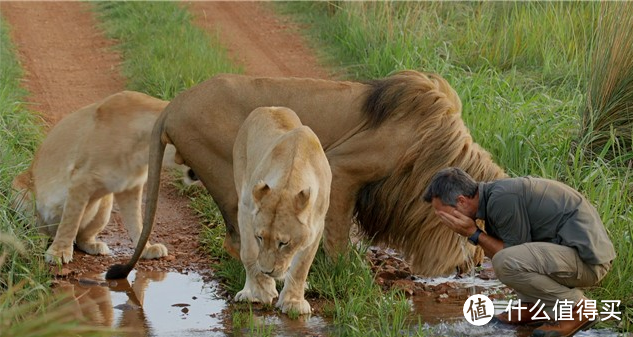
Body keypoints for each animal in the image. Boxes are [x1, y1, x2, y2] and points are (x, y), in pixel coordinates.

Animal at [11, 91, 185, 262]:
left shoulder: (130, 187)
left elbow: (136, 221)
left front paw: (146, 249)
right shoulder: (81, 179)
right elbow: (70, 220)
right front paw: (58, 253)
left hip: (105, 205)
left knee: (81, 238)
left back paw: (94, 246)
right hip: (20, 191)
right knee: (37, 226)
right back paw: (35, 241)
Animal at [106, 70, 506, 278]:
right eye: (477, 226)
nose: (476, 264)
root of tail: (173, 105)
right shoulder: (342, 167)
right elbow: (339, 233)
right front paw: (347, 272)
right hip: (237, 181)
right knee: (238, 240)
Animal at [232, 106, 330, 314]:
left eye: (284, 243)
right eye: (260, 237)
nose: (267, 271)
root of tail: (268, 107)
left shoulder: (316, 227)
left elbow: (301, 267)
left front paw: (293, 302)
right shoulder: (246, 207)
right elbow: (249, 254)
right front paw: (260, 290)